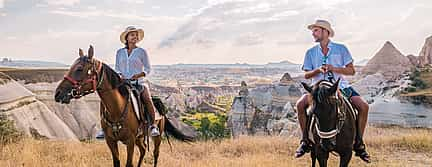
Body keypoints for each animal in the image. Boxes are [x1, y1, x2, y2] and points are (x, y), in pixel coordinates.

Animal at [54, 45, 195, 167]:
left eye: (79, 69)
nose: (58, 93)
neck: (117, 109)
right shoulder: (111, 141)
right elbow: (117, 163)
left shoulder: (130, 141)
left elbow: (128, 164)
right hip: (140, 137)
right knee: (143, 150)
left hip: (157, 136)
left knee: (155, 154)